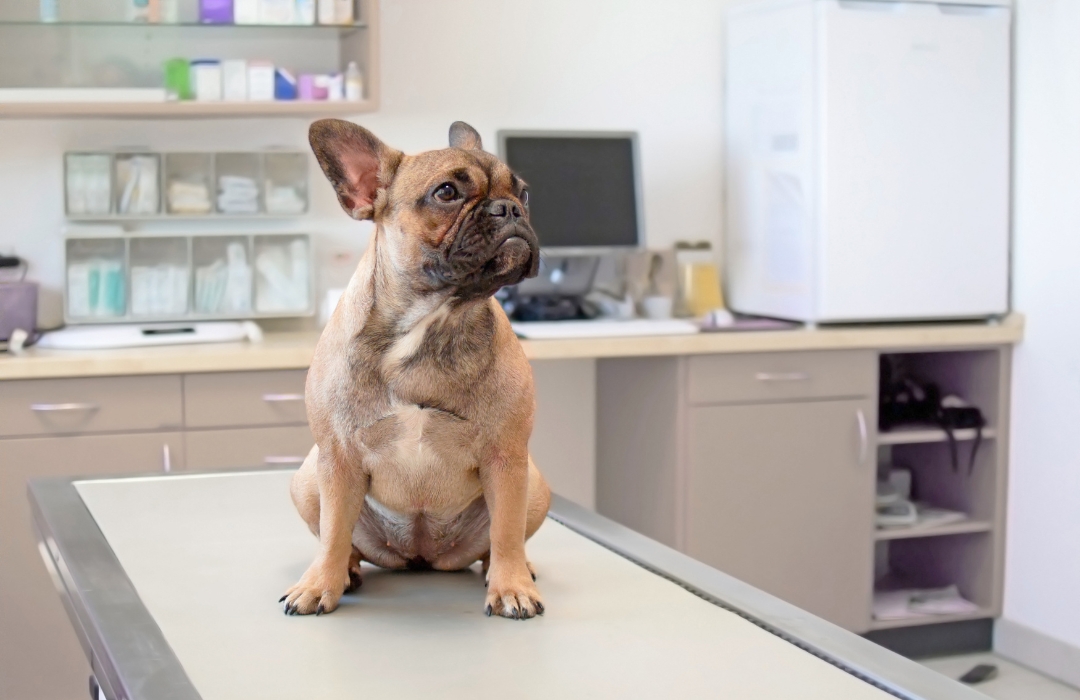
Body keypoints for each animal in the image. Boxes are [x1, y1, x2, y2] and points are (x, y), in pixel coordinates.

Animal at [280, 118, 548, 617]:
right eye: (446, 192)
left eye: (524, 193)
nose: (510, 209)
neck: (433, 319)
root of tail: (421, 555)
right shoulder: (337, 458)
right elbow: (332, 531)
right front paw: (318, 584)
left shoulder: (506, 458)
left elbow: (506, 531)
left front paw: (512, 587)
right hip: (308, 479)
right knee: (341, 538)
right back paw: (345, 570)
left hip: (534, 485)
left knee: (501, 540)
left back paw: (510, 570)